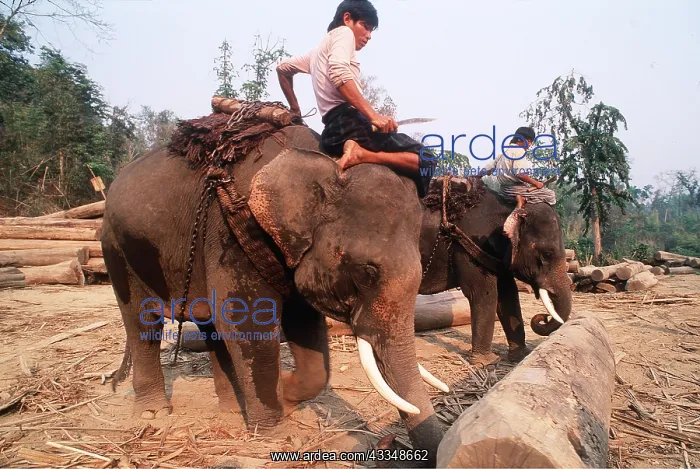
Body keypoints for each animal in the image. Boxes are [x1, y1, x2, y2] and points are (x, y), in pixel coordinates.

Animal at [103, 124, 571, 466]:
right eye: (367, 271)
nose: (546, 322)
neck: (322, 162)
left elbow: (307, 332)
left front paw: (288, 396)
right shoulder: (231, 232)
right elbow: (248, 320)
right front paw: (275, 427)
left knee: (207, 321)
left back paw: (232, 408)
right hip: (117, 247)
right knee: (143, 321)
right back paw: (154, 412)